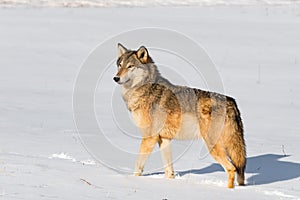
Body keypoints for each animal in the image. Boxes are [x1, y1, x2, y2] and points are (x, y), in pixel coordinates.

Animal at [113, 43, 245, 188]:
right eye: (120, 65)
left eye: (130, 66)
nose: (116, 78)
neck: (144, 89)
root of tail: (232, 102)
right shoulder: (164, 139)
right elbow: (169, 171)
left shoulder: (149, 137)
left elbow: (138, 166)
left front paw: (132, 180)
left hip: (213, 147)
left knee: (231, 169)